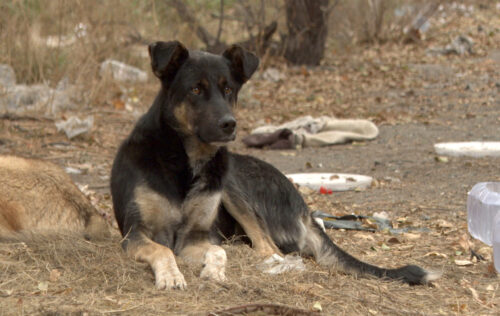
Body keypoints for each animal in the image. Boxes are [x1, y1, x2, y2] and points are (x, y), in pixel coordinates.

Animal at [110, 40, 438, 290]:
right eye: (195, 90)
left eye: (228, 90)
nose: (229, 124)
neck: (187, 161)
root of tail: (305, 208)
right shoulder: (135, 233)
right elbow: (164, 249)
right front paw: (171, 276)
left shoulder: (197, 236)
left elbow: (217, 251)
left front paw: (214, 271)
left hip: (232, 185)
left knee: (270, 249)